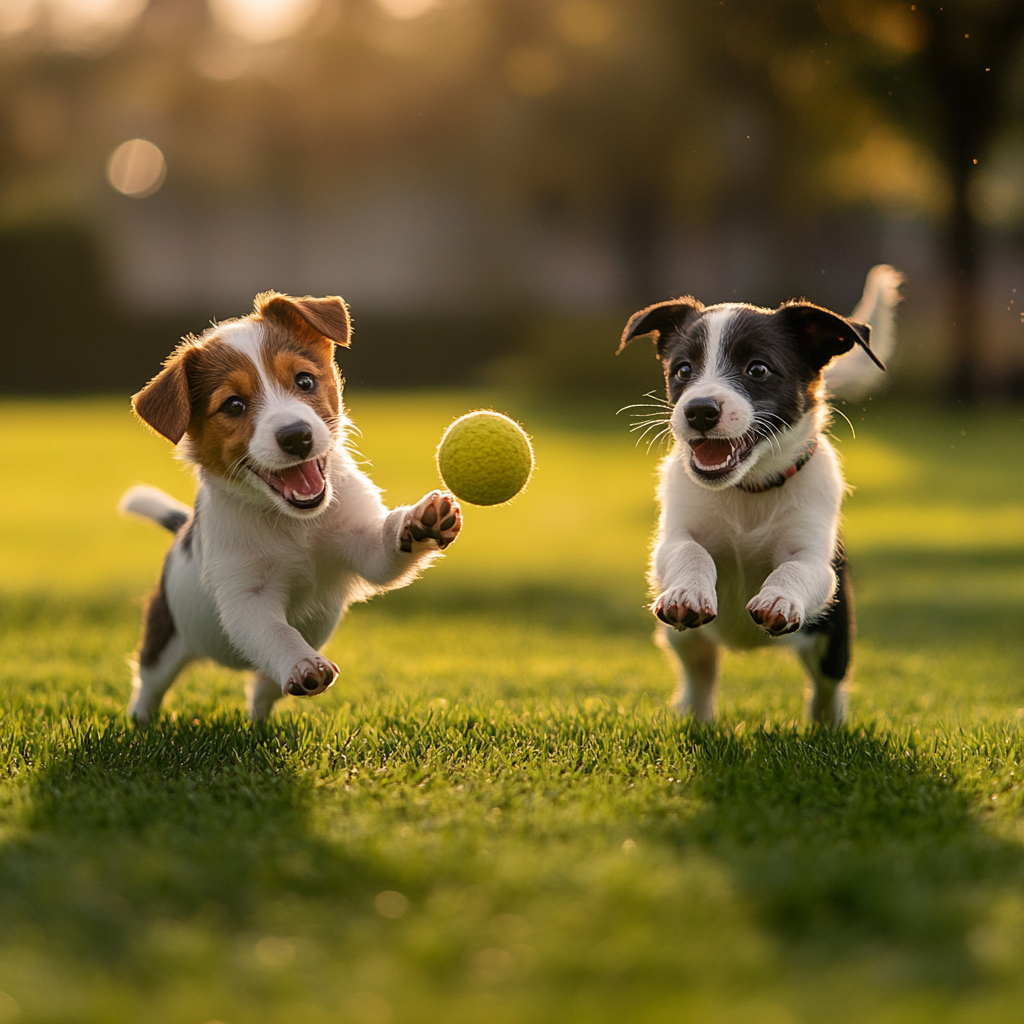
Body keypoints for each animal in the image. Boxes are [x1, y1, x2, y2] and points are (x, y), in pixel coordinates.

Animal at [117, 288, 464, 720]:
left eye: (304, 380)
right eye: (233, 405)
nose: (296, 436)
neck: (296, 523)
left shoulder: (361, 546)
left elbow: (384, 546)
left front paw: (419, 522)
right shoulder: (246, 596)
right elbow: (277, 631)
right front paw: (301, 661)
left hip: (256, 676)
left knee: (262, 689)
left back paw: (259, 722)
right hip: (165, 636)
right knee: (149, 681)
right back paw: (141, 720)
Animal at [618, 268, 901, 724]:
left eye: (758, 369)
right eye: (683, 369)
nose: (699, 410)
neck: (747, 490)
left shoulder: (818, 562)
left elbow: (796, 569)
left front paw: (779, 598)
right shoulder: (671, 540)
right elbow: (690, 552)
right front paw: (687, 593)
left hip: (833, 635)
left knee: (828, 682)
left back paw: (829, 724)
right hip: (680, 639)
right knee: (700, 669)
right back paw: (694, 715)